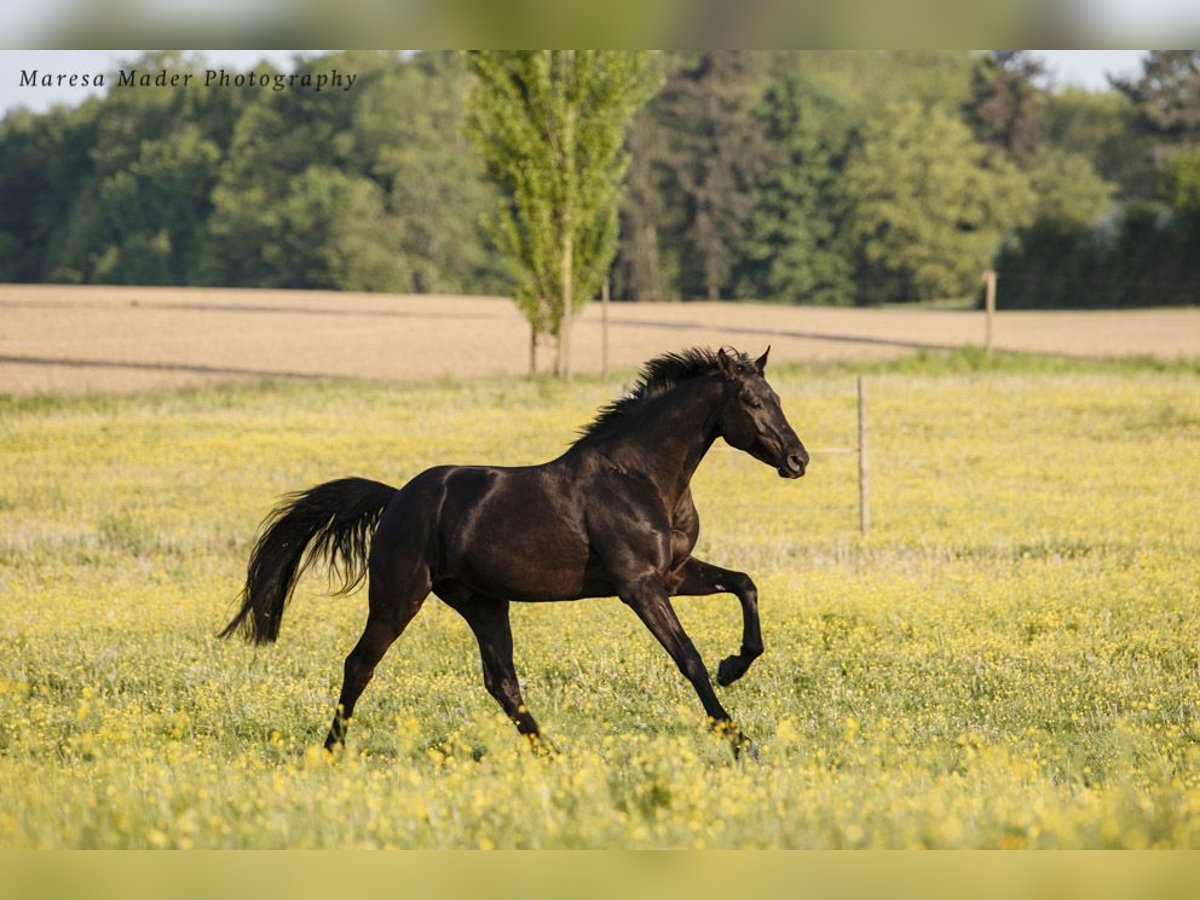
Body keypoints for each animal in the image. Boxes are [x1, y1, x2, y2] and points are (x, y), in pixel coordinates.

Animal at [222, 348, 811, 758]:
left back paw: (552, 752)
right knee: (359, 664)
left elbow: (745, 583)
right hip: (398, 598)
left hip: (483, 602)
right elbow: (687, 657)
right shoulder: (639, 585)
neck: (640, 477)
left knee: (501, 681)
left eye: (779, 400)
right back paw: (329, 751)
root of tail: (396, 500)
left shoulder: (674, 573)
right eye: (752, 402)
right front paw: (739, 739)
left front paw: (735, 665)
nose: (798, 460)